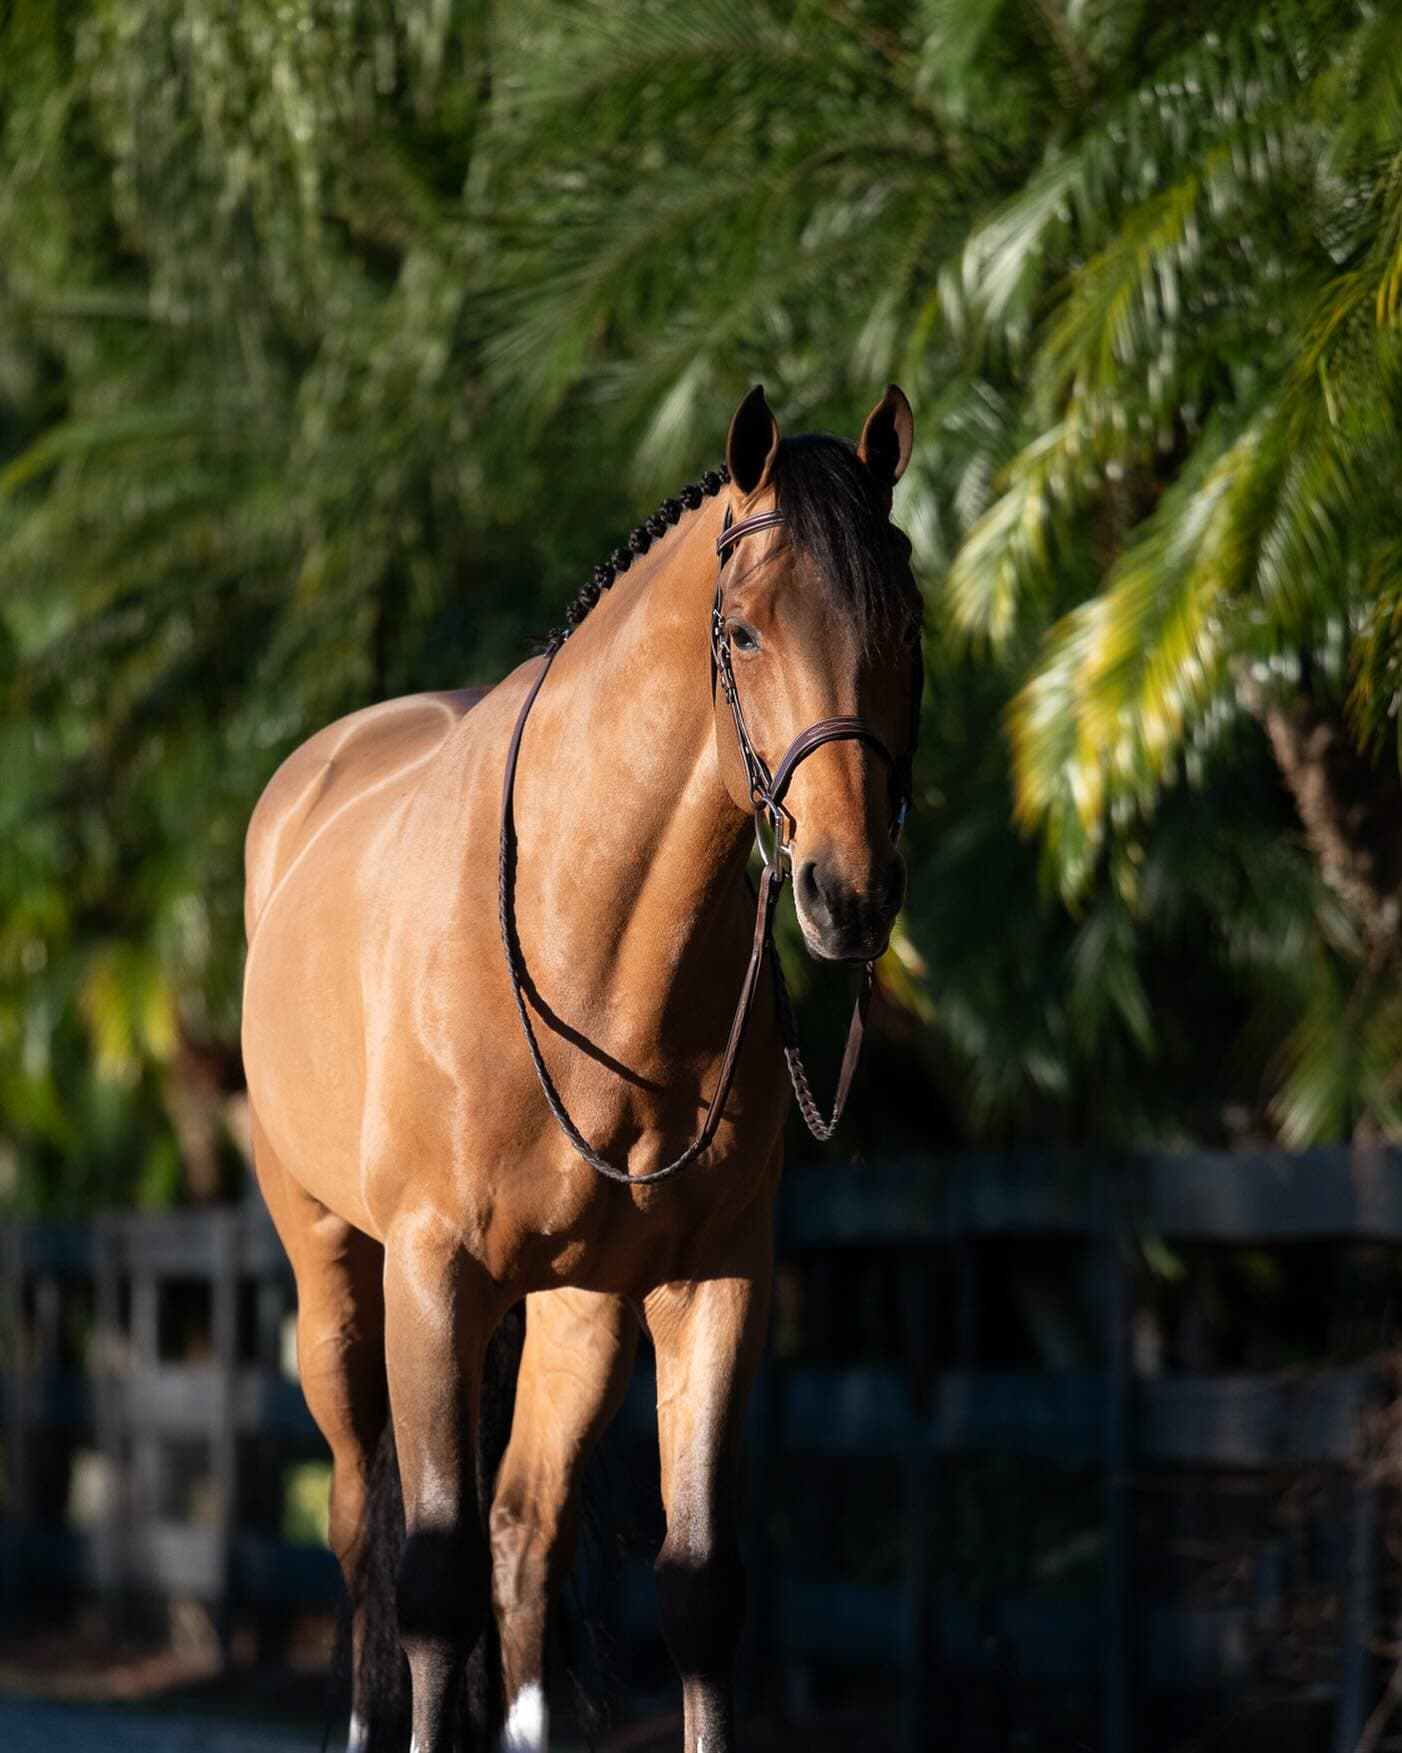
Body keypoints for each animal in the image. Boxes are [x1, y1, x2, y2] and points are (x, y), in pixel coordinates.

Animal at [240, 382, 922, 1753]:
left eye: (909, 626)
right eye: (745, 632)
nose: (848, 894)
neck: (587, 942)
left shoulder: (714, 1283)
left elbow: (699, 1591)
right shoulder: (434, 1276)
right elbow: (431, 1584)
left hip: (580, 1312)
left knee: (524, 1530)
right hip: (335, 1277)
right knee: (362, 1531)